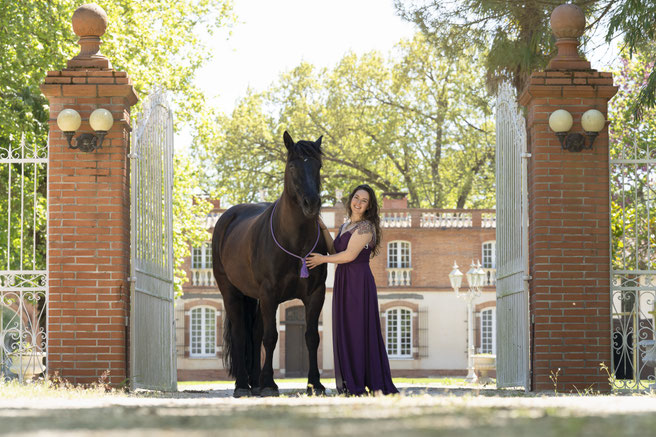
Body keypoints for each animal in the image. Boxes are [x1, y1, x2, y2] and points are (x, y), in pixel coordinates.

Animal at [212, 131, 327, 397]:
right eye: (293, 166)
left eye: (318, 165)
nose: (312, 203)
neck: (296, 242)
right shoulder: (269, 294)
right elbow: (271, 337)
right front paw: (269, 384)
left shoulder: (316, 294)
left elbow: (311, 337)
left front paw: (315, 384)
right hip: (232, 292)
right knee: (242, 333)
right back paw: (243, 385)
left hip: (254, 298)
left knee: (254, 335)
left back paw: (254, 382)